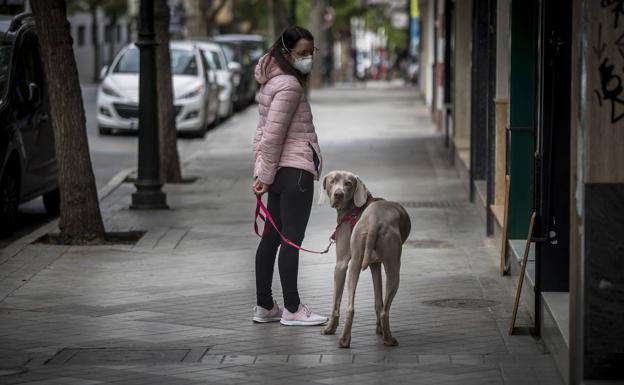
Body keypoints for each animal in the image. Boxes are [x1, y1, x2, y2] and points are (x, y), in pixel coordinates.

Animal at [320, 170, 412, 346]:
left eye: (348, 183)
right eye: (332, 181)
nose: (338, 194)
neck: (353, 210)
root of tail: (376, 219)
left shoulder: (345, 265)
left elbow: (340, 302)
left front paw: (330, 328)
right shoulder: (373, 264)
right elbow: (378, 301)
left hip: (357, 263)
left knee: (351, 307)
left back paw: (345, 341)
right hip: (387, 266)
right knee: (383, 310)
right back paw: (387, 339)